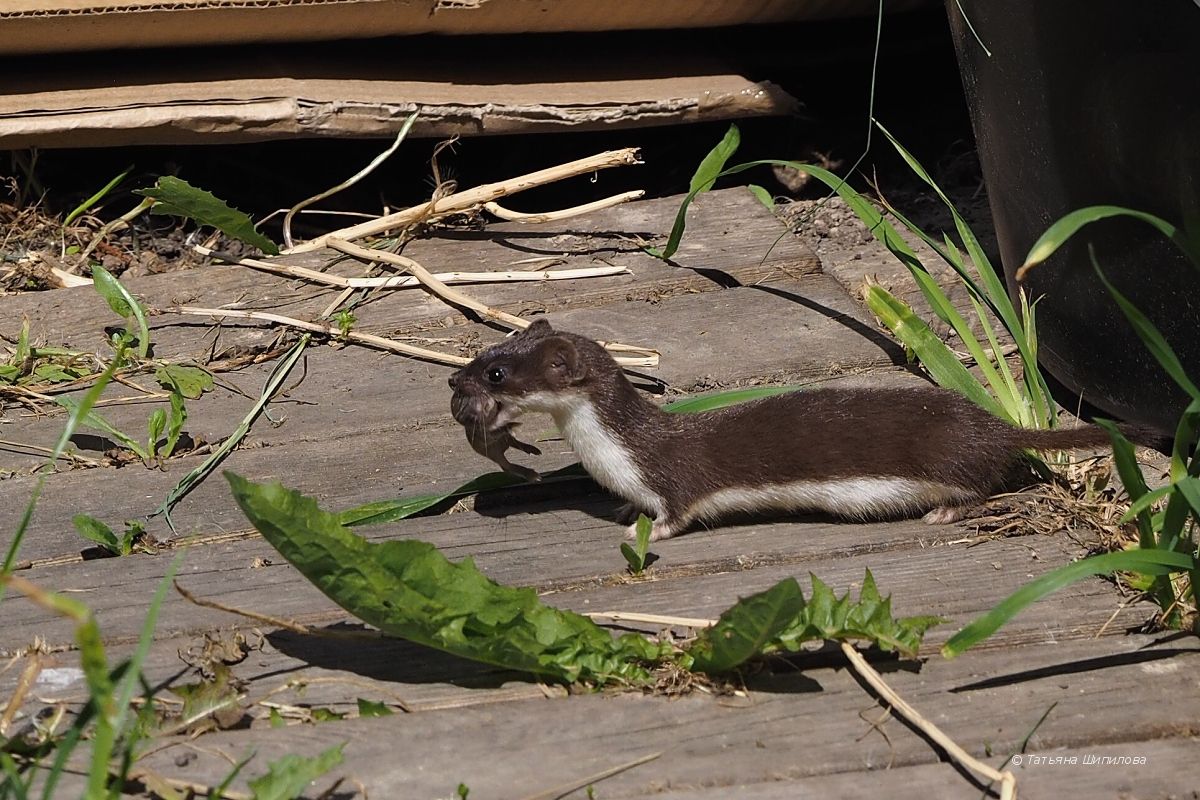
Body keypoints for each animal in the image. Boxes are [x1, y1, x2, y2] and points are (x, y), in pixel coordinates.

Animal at [451, 321, 1132, 542]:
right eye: (492, 346)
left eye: (496, 371)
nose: (454, 380)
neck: (611, 454)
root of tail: (996, 425)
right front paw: (623, 510)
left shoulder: (674, 475)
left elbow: (680, 506)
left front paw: (652, 528)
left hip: (951, 459)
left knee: (980, 485)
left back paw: (943, 511)